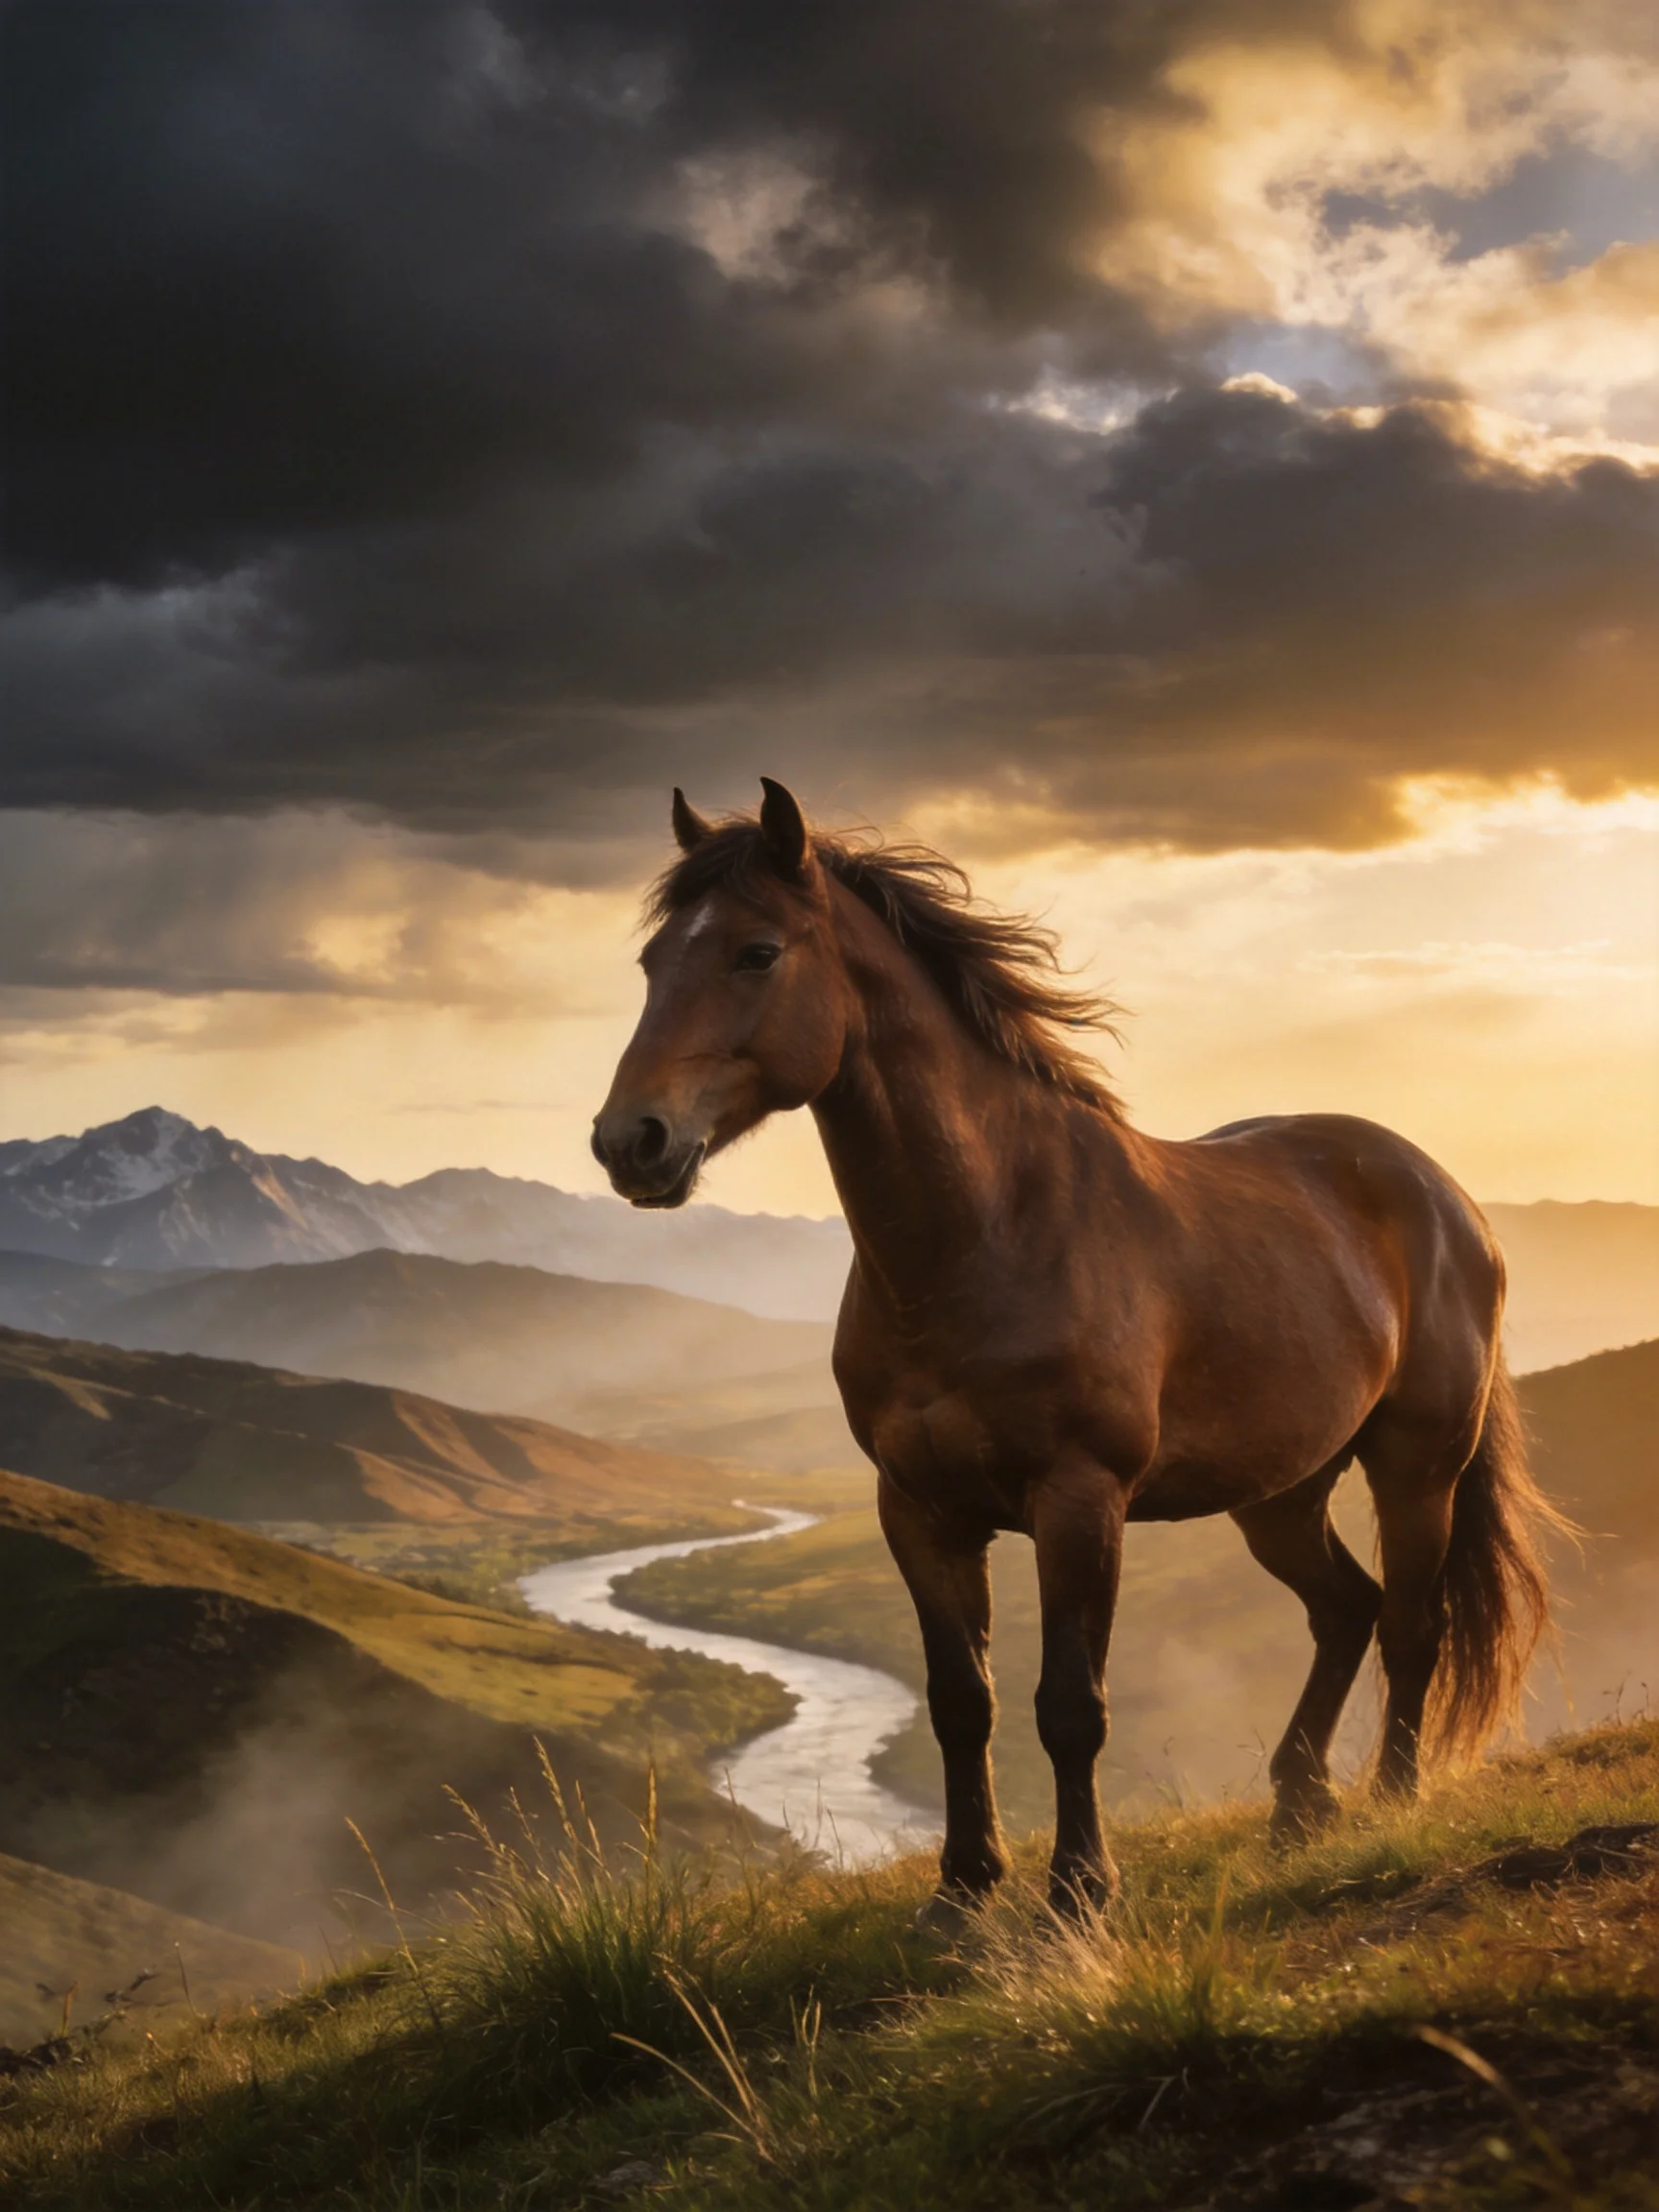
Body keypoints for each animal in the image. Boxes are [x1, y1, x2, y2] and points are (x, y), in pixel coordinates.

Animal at [592, 778, 1562, 1915]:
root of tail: (1448, 1198)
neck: (986, 1236)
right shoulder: (917, 1511)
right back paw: (1297, 1803)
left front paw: (1080, 1888)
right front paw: (963, 1889)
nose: (630, 1142)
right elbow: (960, 1699)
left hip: (1416, 1466)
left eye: (756, 952)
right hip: (1280, 1493)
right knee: (1345, 1610)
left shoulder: (1079, 1501)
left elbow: (1071, 1705)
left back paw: (1390, 1800)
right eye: (652, 963)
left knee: (1410, 1623)